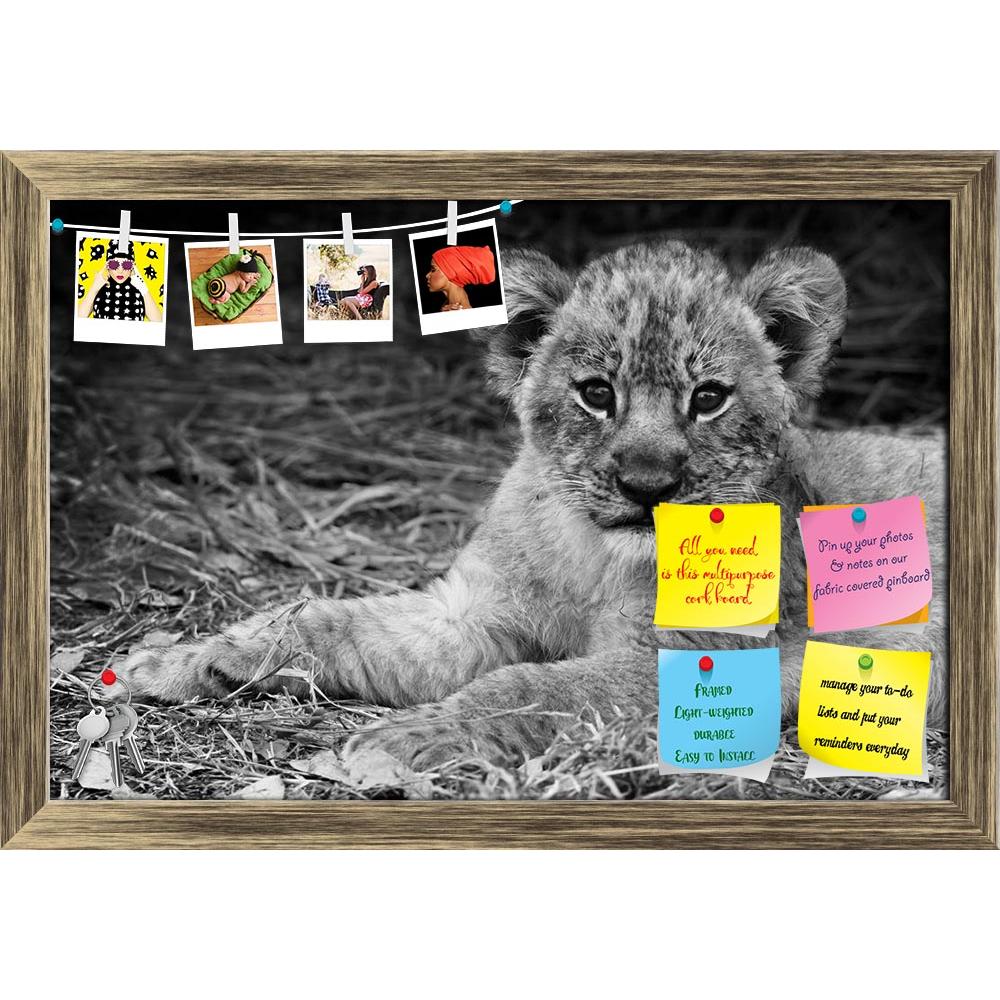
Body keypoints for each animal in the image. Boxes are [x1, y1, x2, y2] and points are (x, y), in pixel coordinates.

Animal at [119, 241, 947, 773]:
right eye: (596, 393)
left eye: (709, 399)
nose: (646, 485)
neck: (595, 557)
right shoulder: (470, 611)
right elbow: (329, 620)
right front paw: (182, 660)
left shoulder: (694, 662)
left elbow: (529, 687)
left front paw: (396, 744)